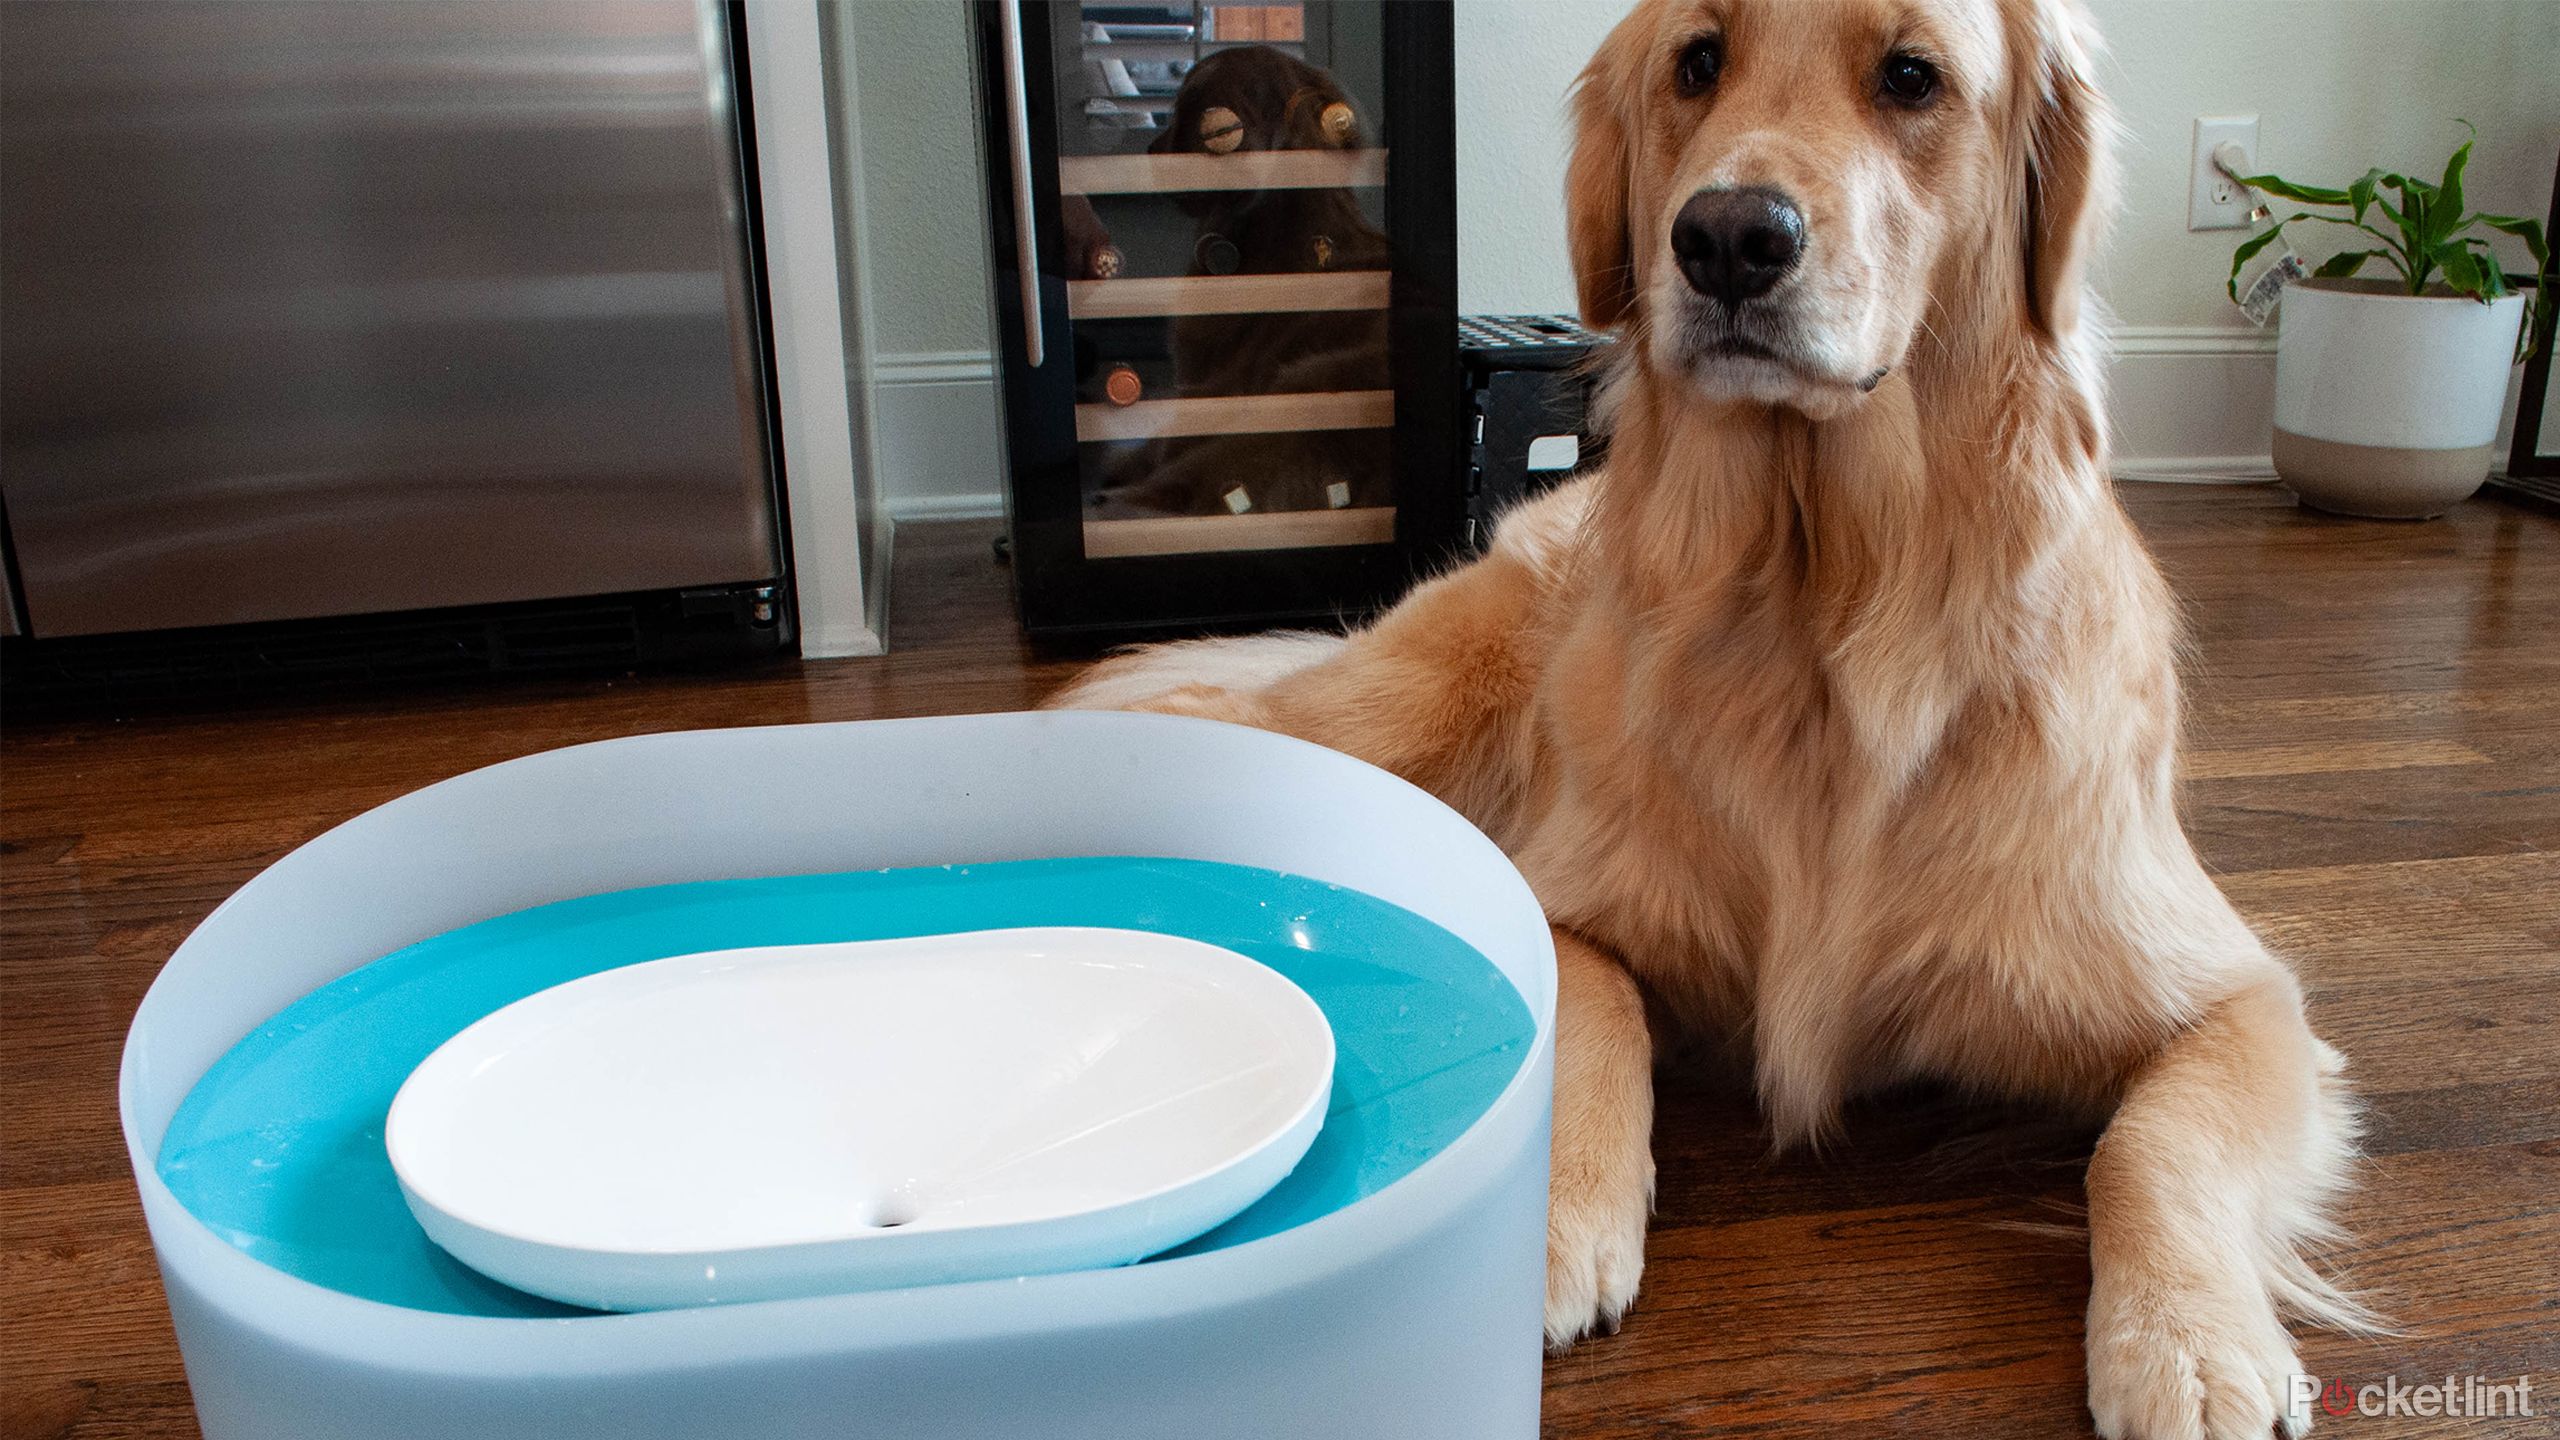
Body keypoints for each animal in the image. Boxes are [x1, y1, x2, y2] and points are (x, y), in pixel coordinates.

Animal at [1049, 2, 2365, 1424]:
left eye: (1912, 76)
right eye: (1696, 63)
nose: (1729, 237)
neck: (1818, 603)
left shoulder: (2235, 997)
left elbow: (2154, 1142)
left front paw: (2187, 1342)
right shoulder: (1567, 893)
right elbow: (1593, 1018)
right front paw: (1553, 1225)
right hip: (1401, 712)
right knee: (1218, 712)